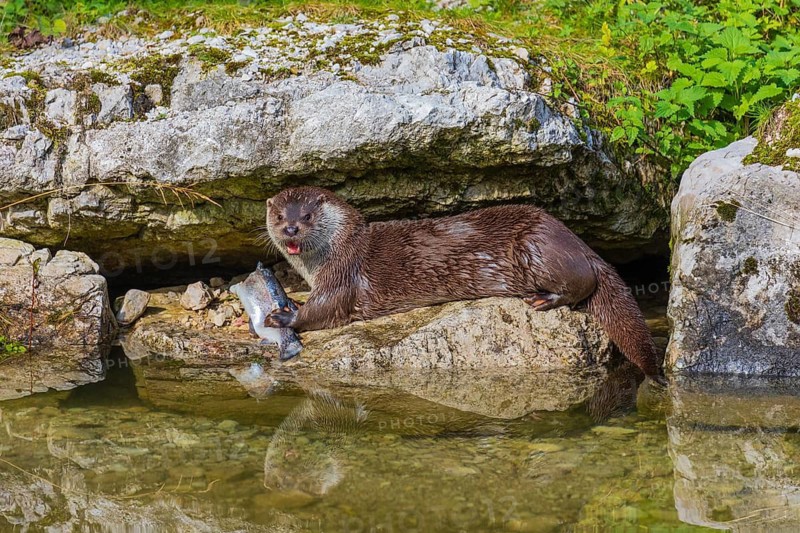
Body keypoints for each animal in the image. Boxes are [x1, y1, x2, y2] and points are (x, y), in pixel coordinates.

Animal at [264, 187, 665, 383]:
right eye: (279, 215)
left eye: (308, 215)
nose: (291, 229)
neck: (331, 253)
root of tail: (578, 242)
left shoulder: (342, 275)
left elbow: (324, 309)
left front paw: (281, 316)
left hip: (535, 247)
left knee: (580, 283)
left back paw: (543, 299)